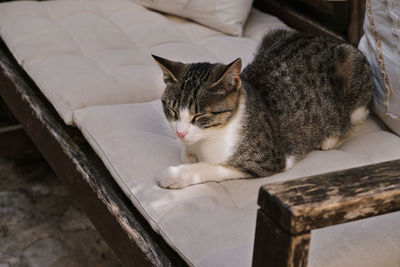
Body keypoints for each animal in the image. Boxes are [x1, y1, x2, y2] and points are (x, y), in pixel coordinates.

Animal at [153, 29, 376, 189]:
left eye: (200, 115)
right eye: (172, 110)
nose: (180, 133)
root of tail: (320, 36)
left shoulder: (269, 160)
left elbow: (213, 167)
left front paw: (174, 175)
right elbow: (186, 153)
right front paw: (187, 155)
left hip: (350, 64)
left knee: (357, 117)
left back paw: (330, 137)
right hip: (271, 35)